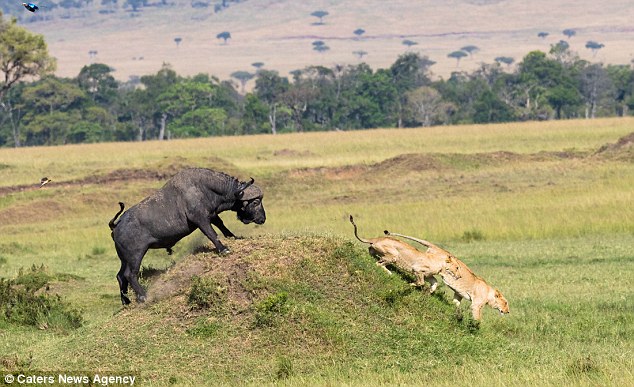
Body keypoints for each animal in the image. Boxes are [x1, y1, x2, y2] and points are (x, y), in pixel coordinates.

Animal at [108, 168, 264, 304]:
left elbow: (221, 225)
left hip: (125, 258)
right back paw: (143, 296)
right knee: (130, 274)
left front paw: (233, 237)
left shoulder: (212, 214)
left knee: (120, 276)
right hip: (136, 255)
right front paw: (223, 249)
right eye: (256, 202)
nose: (263, 219)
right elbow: (212, 233)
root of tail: (117, 226)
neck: (205, 188)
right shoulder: (200, 219)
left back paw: (126, 301)